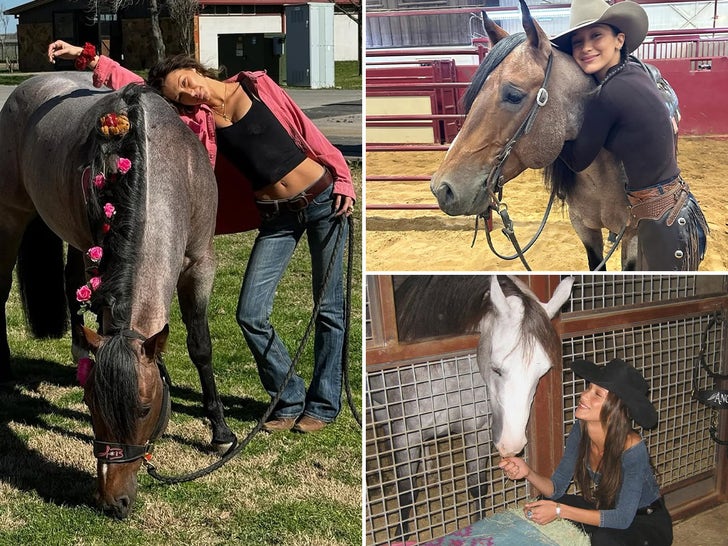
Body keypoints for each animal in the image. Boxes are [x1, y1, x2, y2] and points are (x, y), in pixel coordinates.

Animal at [0, 73, 237, 518]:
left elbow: (200, 345)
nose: (113, 502)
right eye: (93, 406)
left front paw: (220, 429)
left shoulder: (200, 263)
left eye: (144, 409)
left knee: (70, 280)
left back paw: (79, 349)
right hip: (12, 216)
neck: (162, 162)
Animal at [367, 275, 574, 541]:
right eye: (496, 369)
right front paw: (400, 536)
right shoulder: (406, 433)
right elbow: (406, 492)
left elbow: (478, 485)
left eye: (543, 371)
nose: (512, 445)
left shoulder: (478, 431)